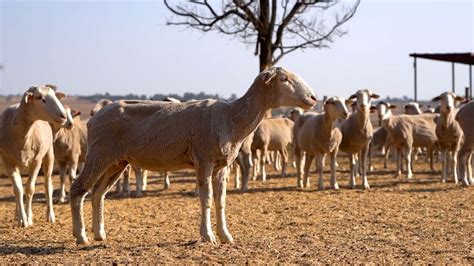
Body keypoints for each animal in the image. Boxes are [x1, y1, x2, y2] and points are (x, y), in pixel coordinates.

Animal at [0, 86, 69, 228]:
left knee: (48, 185)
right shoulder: (7, 160)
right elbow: (18, 189)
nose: (64, 116)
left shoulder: (36, 161)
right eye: (40, 98)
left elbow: (30, 189)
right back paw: (17, 214)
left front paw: (29, 217)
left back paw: (50, 215)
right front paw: (22, 219)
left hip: (49, 154)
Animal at [69, 67, 314, 245]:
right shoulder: (204, 160)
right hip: (99, 152)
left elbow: (221, 200)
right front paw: (208, 236)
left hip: (117, 161)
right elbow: (206, 199)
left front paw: (226, 236)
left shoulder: (222, 165)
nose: (312, 97)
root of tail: (93, 118)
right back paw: (81, 237)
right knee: (78, 188)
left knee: (98, 193)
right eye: (283, 79)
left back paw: (100, 234)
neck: (232, 118)